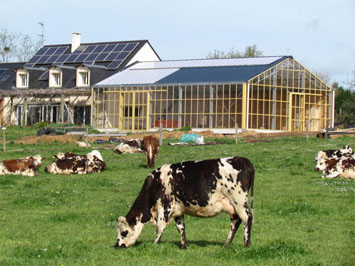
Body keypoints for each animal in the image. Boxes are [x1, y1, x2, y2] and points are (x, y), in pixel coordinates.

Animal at [115, 156, 254, 249]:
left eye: (123, 232)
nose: (118, 245)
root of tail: (242, 160)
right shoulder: (178, 210)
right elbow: (180, 227)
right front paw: (183, 246)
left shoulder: (165, 208)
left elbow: (160, 227)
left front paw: (154, 244)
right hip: (233, 206)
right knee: (236, 221)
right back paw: (226, 244)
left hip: (239, 201)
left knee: (247, 218)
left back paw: (246, 244)